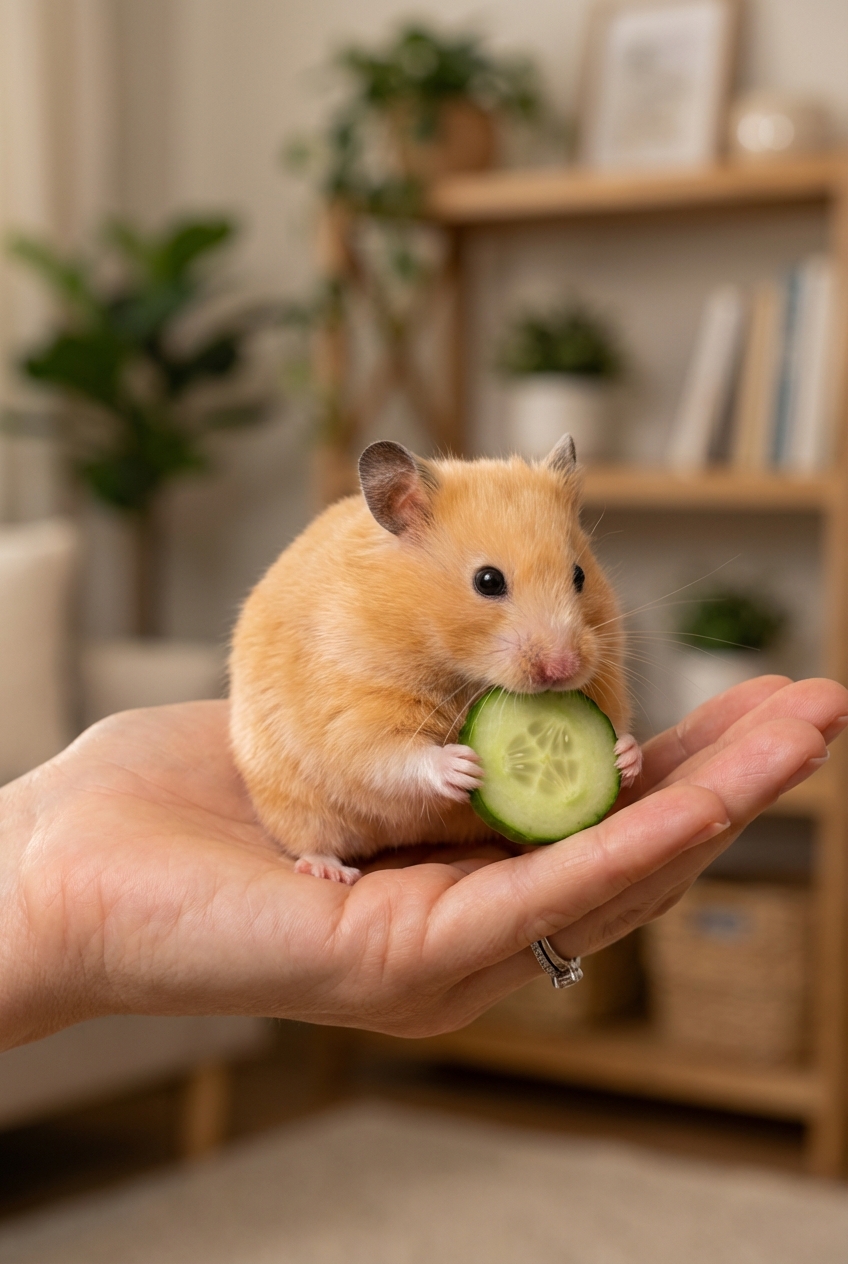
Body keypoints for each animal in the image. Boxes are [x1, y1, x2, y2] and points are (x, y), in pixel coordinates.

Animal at [229, 435, 641, 884]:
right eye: (488, 581)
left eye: (580, 576)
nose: (563, 669)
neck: (458, 667)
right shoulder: (352, 703)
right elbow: (388, 754)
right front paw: (462, 766)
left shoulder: (607, 669)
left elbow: (617, 720)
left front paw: (626, 756)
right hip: (292, 803)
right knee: (311, 840)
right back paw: (330, 871)